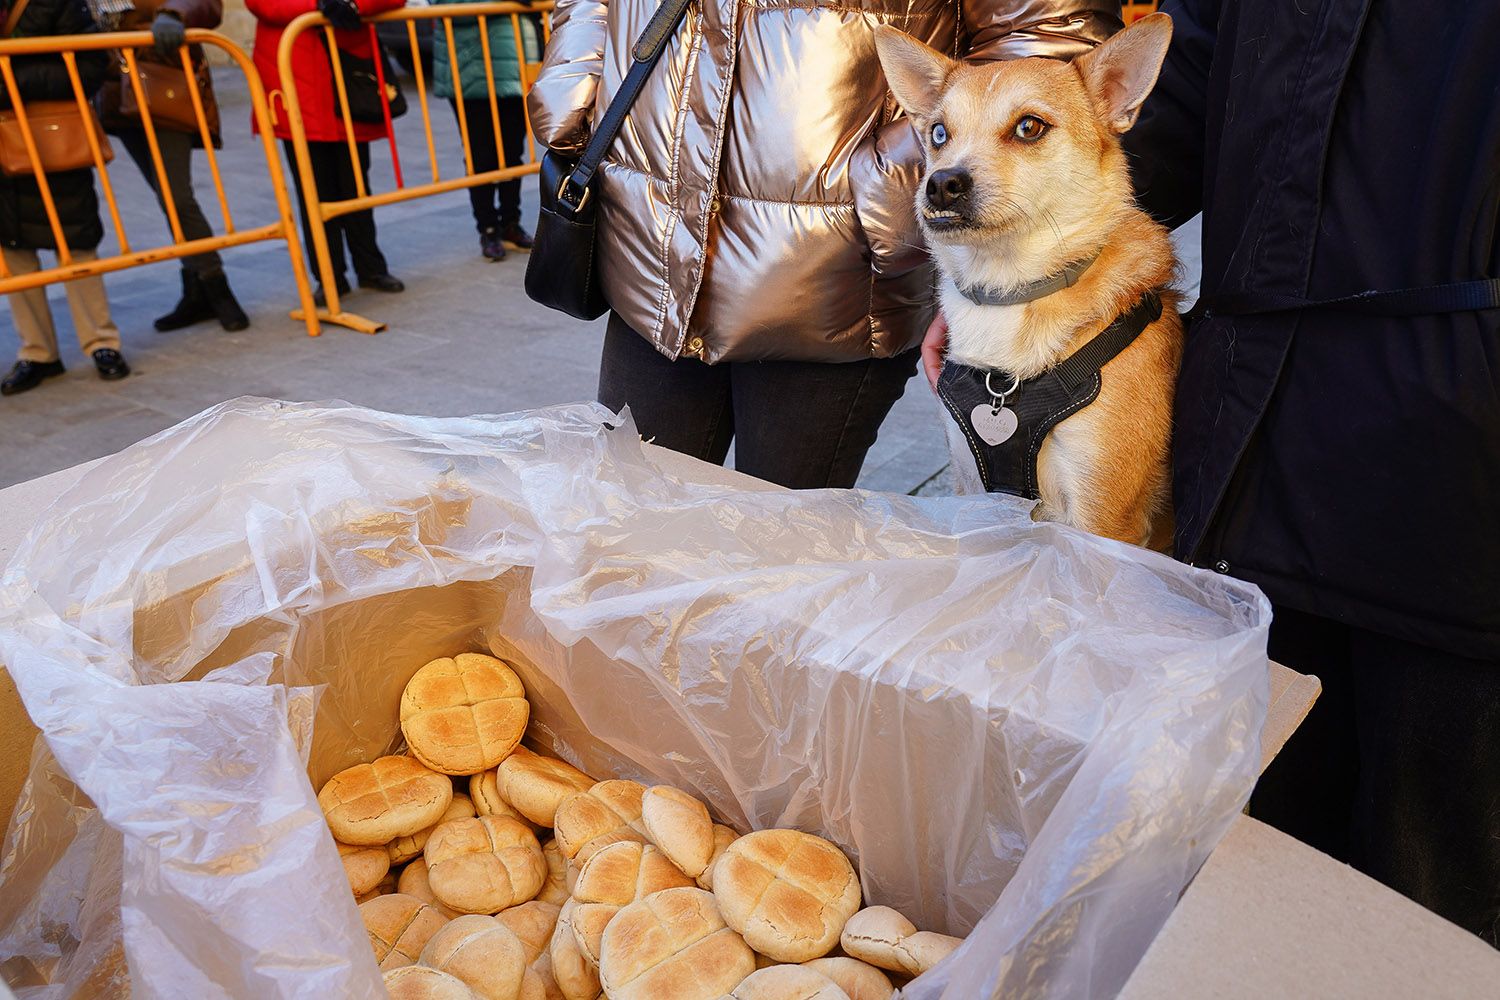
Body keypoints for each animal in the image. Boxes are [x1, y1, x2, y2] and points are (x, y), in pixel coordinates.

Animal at [876, 15, 1176, 548]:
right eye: (938, 133)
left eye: (1029, 126)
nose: (941, 184)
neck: (1009, 295)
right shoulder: (974, 491)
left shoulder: (1103, 515)